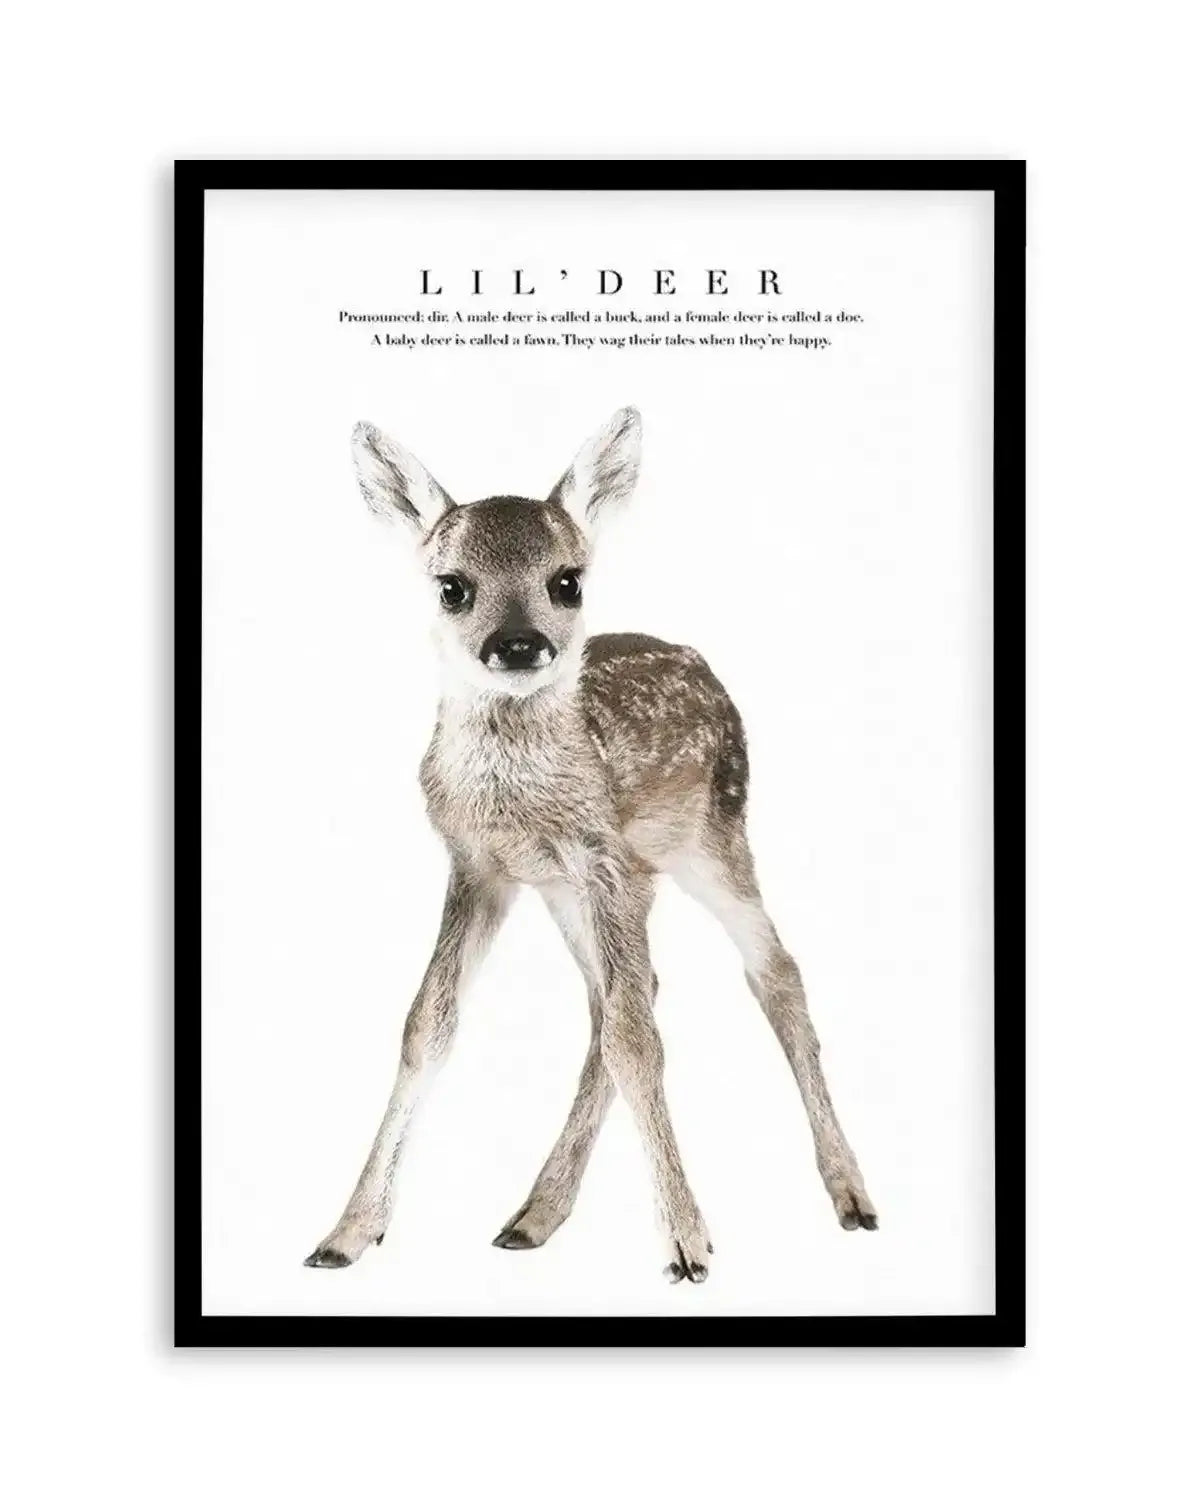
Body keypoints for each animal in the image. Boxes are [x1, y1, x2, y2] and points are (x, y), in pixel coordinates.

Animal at [304, 407, 876, 1284]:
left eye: (567, 580)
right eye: (451, 586)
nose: (518, 645)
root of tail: (699, 659)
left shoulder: (603, 857)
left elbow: (637, 1041)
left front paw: (686, 1244)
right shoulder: (482, 866)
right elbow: (428, 1025)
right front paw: (348, 1231)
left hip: (712, 837)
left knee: (771, 972)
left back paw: (850, 1194)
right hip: (585, 891)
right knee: (624, 998)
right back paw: (535, 1215)